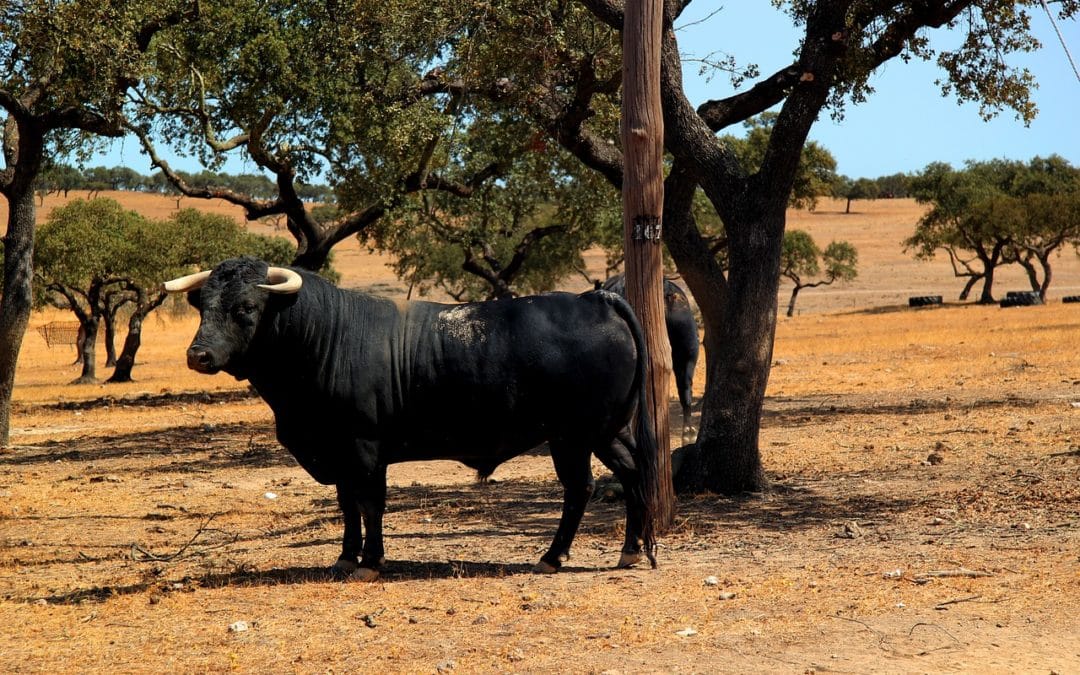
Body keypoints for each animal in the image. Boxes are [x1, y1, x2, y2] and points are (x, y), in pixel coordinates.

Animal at [165, 258, 660, 578]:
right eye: (202, 305)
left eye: (246, 308)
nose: (198, 355)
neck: (326, 337)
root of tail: (595, 299)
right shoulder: (339, 452)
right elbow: (347, 504)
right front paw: (346, 557)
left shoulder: (363, 448)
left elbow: (370, 503)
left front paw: (370, 562)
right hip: (608, 431)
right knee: (632, 473)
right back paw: (632, 551)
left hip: (572, 436)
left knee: (581, 488)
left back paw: (553, 557)